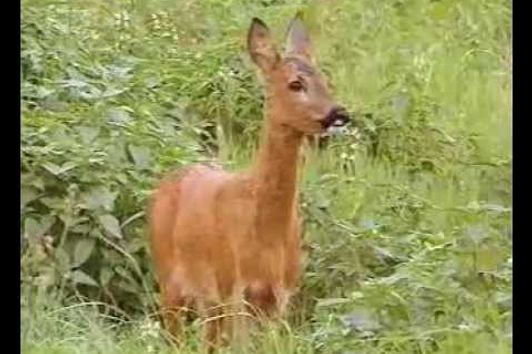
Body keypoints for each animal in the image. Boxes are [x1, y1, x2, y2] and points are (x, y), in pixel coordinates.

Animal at [149, 15, 350, 350]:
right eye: (295, 83)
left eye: (325, 80)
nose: (339, 113)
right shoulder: (234, 287)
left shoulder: (280, 294)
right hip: (170, 279)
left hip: (209, 301)